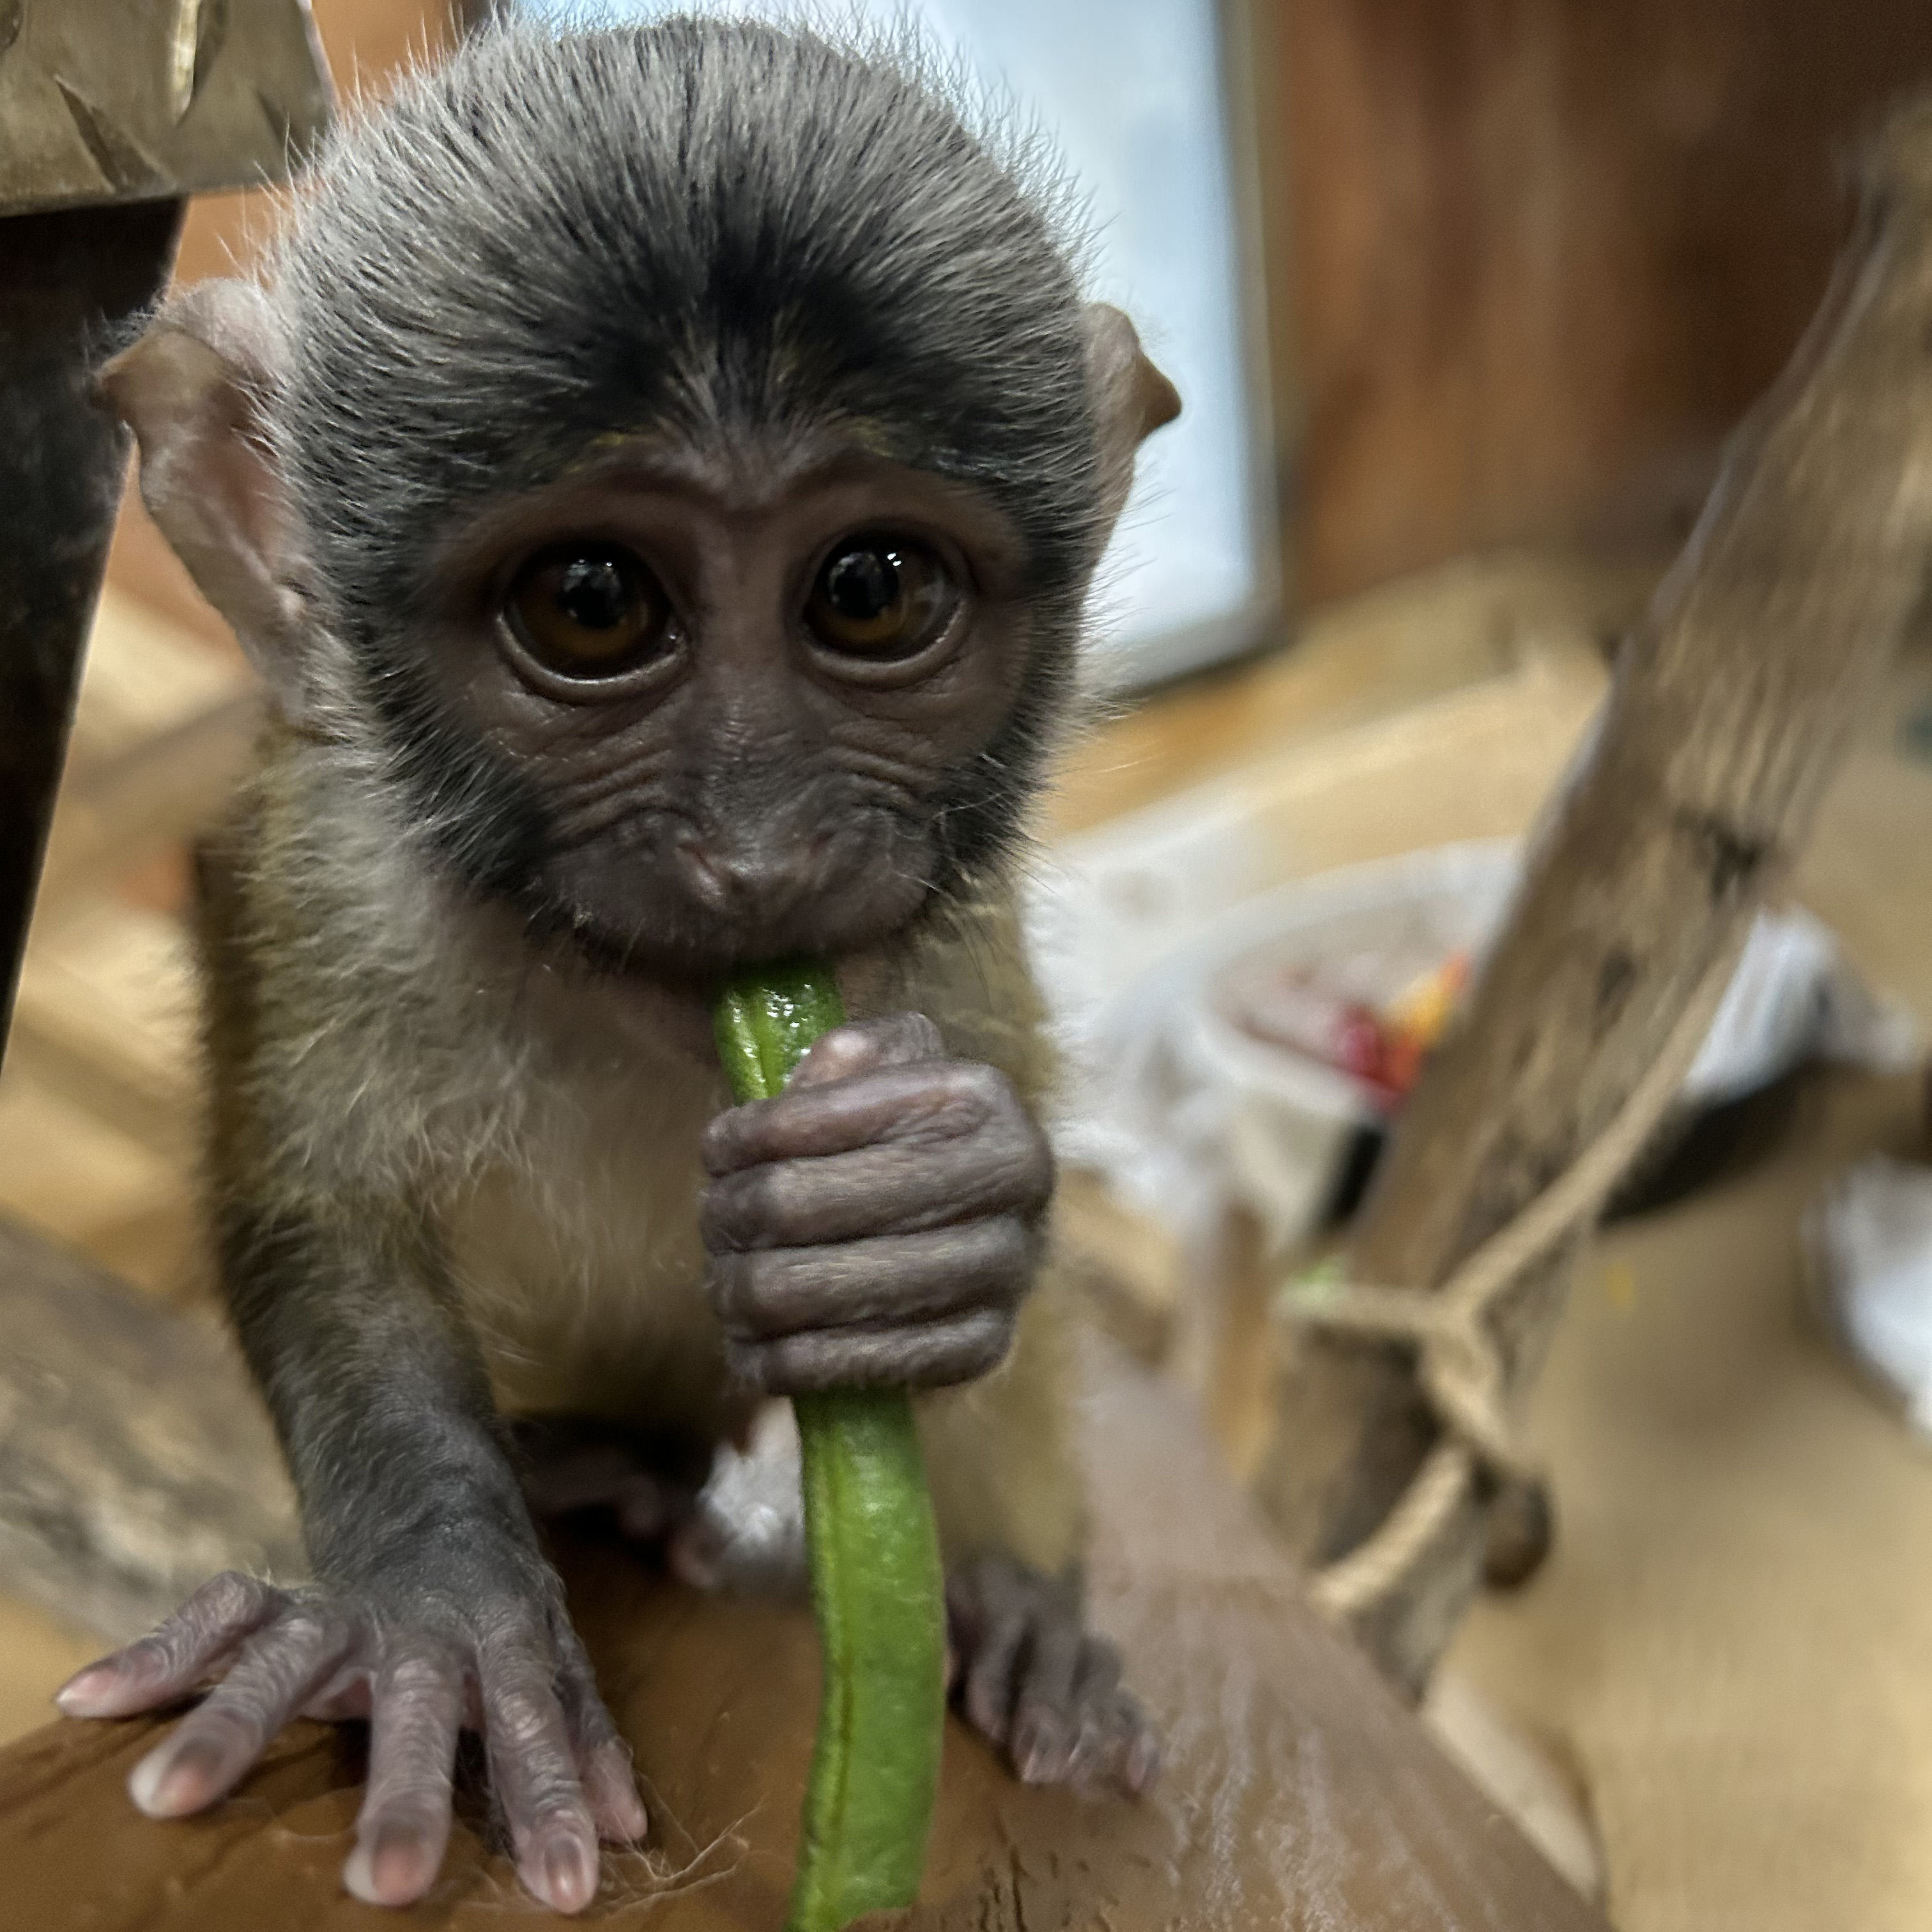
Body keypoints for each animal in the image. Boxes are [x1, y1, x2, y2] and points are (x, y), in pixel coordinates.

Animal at [60, 15, 1174, 1916]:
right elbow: (325, 1225)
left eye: (871, 592)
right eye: (591, 606)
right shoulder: (327, 867)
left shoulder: (944, 923)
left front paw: (924, 1216)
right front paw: (436, 1612)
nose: (760, 853)